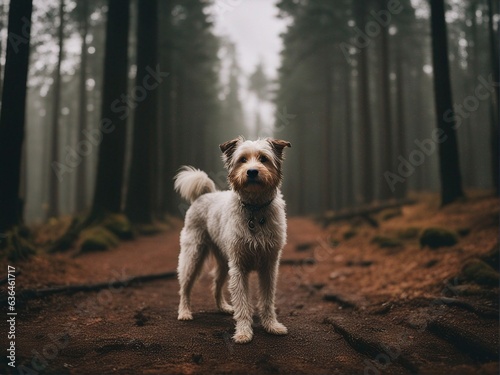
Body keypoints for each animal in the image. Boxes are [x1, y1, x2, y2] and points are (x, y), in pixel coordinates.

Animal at [174, 136, 292, 344]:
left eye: (263, 159)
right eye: (243, 160)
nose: (252, 171)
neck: (255, 210)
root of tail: (204, 195)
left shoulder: (268, 266)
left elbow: (267, 300)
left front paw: (272, 325)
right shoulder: (239, 267)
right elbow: (243, 303)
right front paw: (244, 333)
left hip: (223, 261)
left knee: (216, 284)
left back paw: (223, 307)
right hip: (193, 255)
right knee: (185, 287)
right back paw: (185, 312)